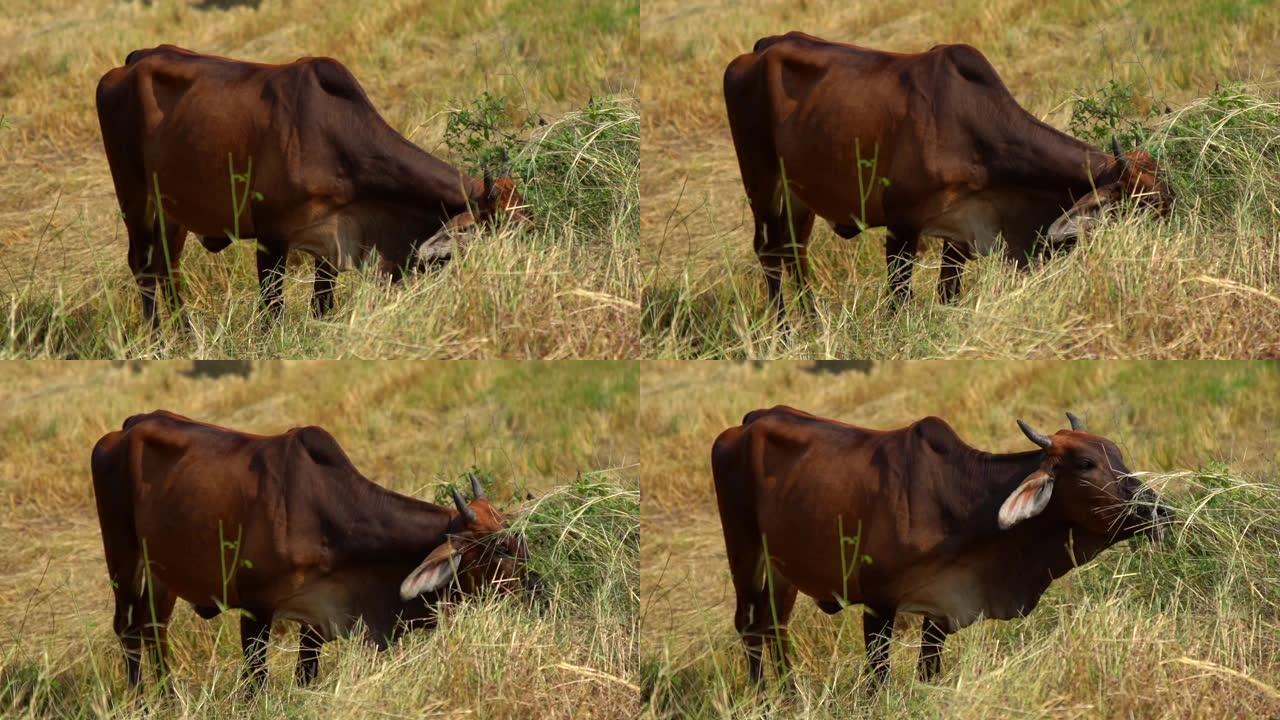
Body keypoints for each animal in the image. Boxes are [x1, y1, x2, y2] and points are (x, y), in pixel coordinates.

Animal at [90, 409, 537, 691]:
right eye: (497, 550)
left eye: (517, 539)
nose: (536, 593)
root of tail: (127, 427)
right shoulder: (255, 608)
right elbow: (255, 684)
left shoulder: (316, 619)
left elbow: (306, 676)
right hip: (123, 560)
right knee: (127, 628)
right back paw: (143, 701)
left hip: (161, 573)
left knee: (154, 628)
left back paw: (169, 698)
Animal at [92, 43, 527, 324]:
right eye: (498, 229)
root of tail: (131, 62)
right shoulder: (271, 238)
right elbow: (272, 313)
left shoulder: (331, 244)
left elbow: (322, 307)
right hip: (134, 196)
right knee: (143, 266)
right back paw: (159, 339)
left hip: (174, 209)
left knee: (167, 266)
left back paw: (184, 334)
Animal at [716, 407, 1167, 686]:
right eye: (1086, 464)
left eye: (1118, 454)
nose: (1160, 511)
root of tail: (749, 421)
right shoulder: (878, 604)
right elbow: (877, 681)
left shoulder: (940, 608)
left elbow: (928, 672)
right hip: (744, 552)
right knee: (748, 624)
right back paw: (765, 699)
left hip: (782, 567)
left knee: (775, 625)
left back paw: (791, 695)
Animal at [727, 32, 1172, 319]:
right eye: (1139, 210)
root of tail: (759, 49)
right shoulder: (902, 227)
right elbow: (898, 303)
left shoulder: (960, 236)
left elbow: (947, 294)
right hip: (762, 184)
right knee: (769, 253)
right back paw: (786, 332)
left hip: (800, 197)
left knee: (795, 252)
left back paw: (812, 323)